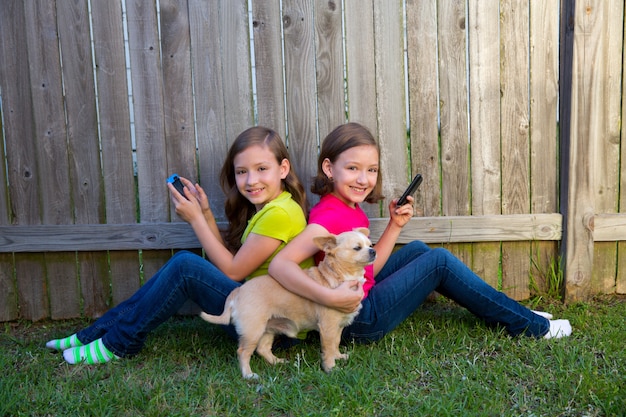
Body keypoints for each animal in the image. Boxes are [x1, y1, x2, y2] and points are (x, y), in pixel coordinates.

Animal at [201, 228, 376, 376]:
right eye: (357, 248)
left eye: (369, 245)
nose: (373, 250)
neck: (344, 276)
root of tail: (239, 291)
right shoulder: (328, 327)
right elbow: (328, 348)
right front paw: (330, 368)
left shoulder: (338, 327)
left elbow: (335, 343)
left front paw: (338, 356)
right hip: (253, 331)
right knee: (243, 351)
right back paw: (248, 375)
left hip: (268, 329)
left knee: (263, 349)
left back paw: (276, 362)